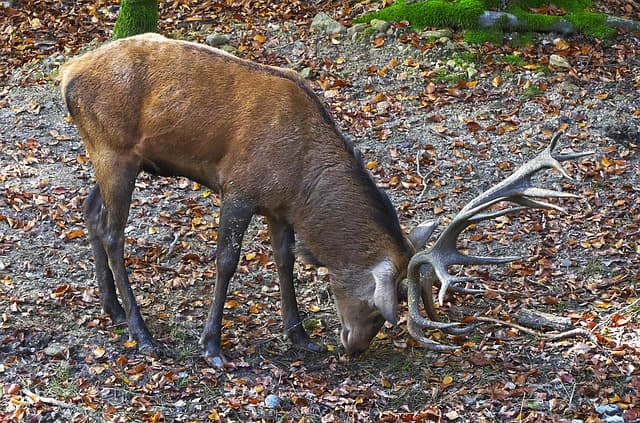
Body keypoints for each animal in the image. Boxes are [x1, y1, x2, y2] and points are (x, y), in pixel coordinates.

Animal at [59, 33, 591, 367]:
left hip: (116, 157)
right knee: (114, 232)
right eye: (382, 310)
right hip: (113, 152)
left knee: (90, 211)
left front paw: (300, 336)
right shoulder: (239, 188)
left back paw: (112, 309)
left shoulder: (278, 207)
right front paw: (213, 346)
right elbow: (227, 261)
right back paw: (142, 333)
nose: (352, 349)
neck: (301, 179)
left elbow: (285, 260)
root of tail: (67, 72)